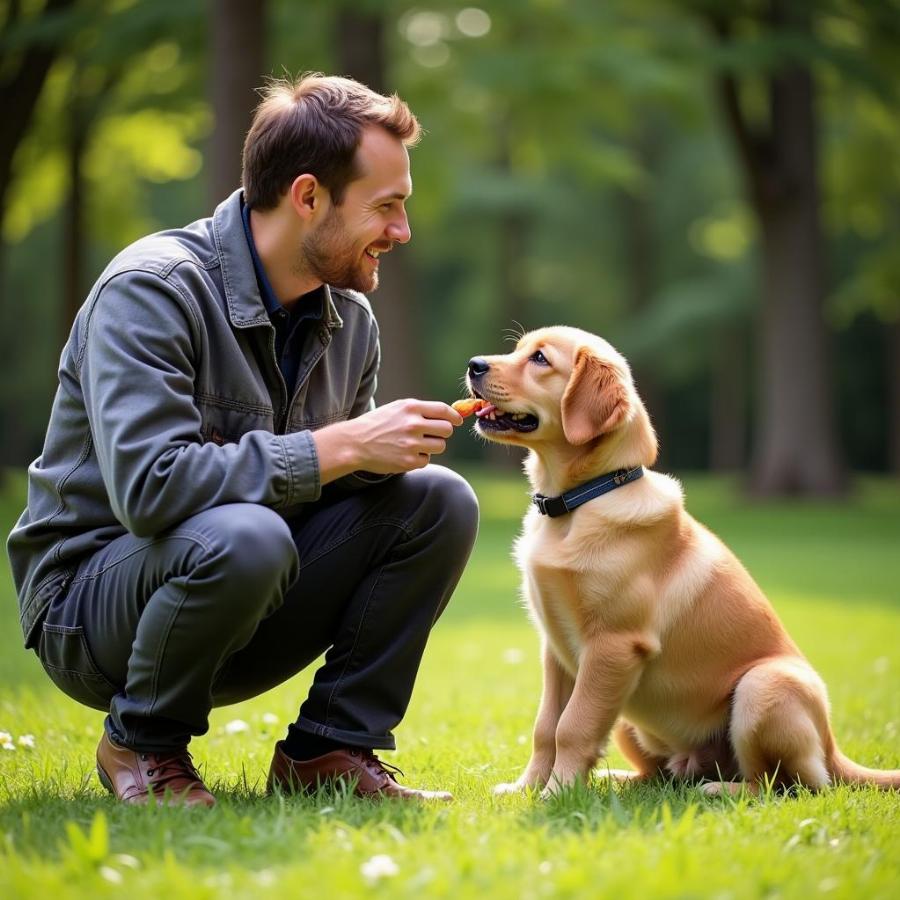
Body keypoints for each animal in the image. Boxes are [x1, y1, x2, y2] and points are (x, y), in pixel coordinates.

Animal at [464, 326, 900, 796]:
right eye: (518, 349)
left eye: (540, 359)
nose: (474, 364)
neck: (580, 501)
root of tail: (833, 748)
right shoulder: (557, 647)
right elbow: (546, 726)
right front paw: (526, 788)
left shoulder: (613, 646)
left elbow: (573, 727)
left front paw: (556, 795)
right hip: (630, 720)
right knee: (661, 774)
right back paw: (620, 779)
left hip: (763, 687)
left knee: (783, 783)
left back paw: (723, 791)